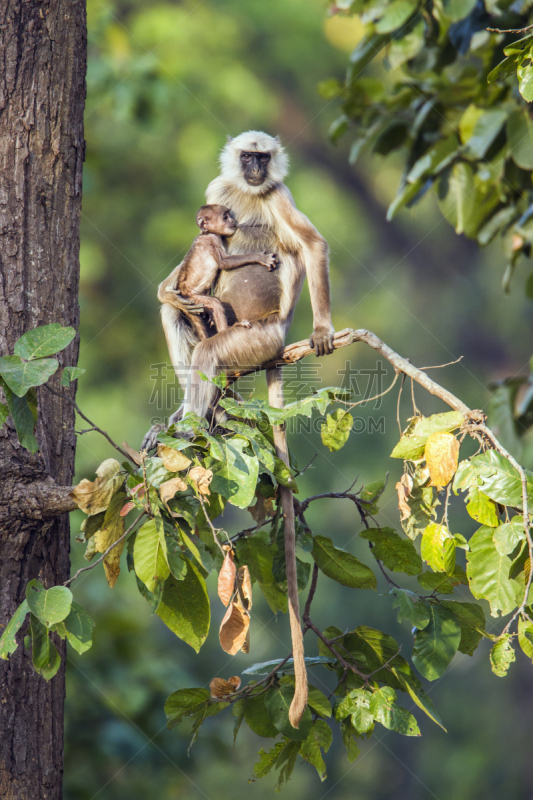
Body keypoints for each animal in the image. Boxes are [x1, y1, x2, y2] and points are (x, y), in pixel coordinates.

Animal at [158, 205, 278, 340]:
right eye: (225, 217)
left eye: (229, 215)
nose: (232, 221)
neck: (206, 233)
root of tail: (181, 289)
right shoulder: (212, 240)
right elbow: (223, 262)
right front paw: (259, 257)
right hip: (191, 297)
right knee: (215, 303)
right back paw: (226, 329)